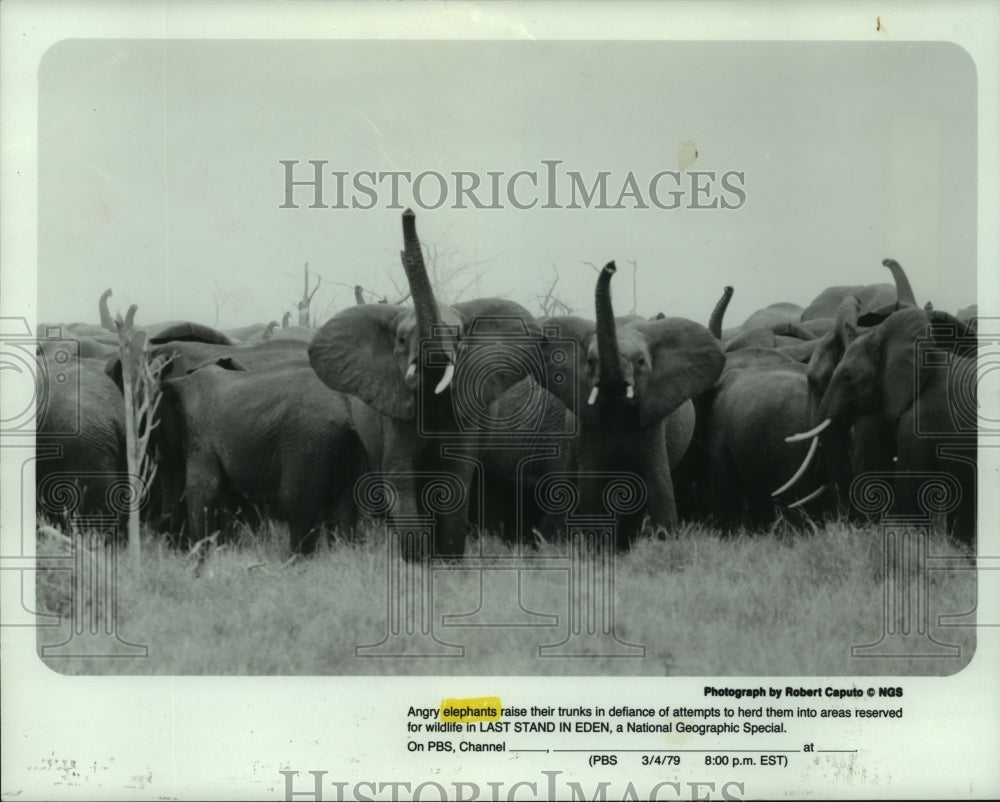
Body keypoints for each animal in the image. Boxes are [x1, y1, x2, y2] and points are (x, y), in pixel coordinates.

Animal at [152, 358, 364, 552]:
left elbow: (203, 489)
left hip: (308, 441)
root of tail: (347, 408)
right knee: (344, 509)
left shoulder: (200, 433)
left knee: (296, 503)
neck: (181, 381)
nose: (163, 530)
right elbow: (227, 497)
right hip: (350, 447)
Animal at [306, 209, 540, 560]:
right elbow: (401, 477)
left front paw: (448, 562)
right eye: (402, 340)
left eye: (459, 337)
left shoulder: (466, 415)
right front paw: (418, 562)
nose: (408, 213)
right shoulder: (393, 410)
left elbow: (455, 479)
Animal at [536, 260, 724, 548]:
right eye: (590, 362)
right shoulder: (589, 426)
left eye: (641, 362)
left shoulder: (652, 421)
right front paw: (593, 549)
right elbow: (590, 486)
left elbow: (658, 484)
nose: (611, 266)